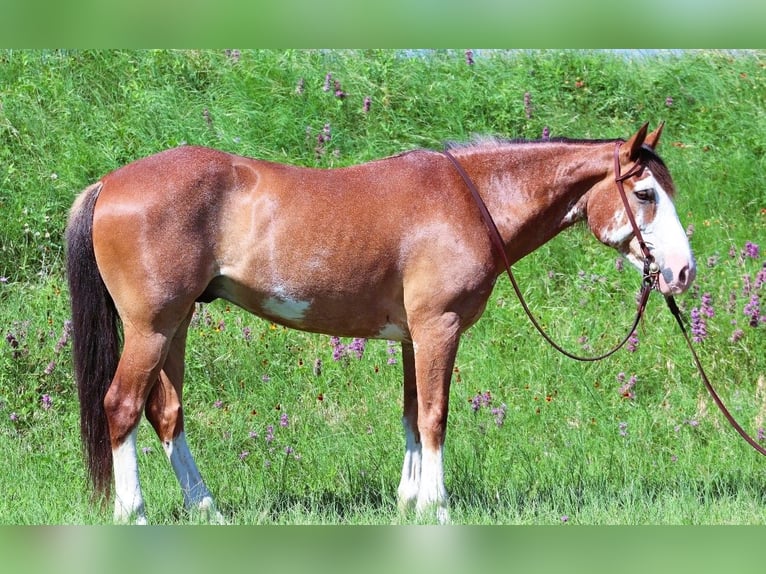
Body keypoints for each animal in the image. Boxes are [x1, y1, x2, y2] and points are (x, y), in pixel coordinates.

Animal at [66, 122, 696, 528]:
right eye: (645, 193)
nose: (682, 272)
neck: (472, 202)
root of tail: (109, 184)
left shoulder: (416, 338)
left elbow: (413, 417)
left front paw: (409, 504)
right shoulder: (440, 327)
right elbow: (436, 417)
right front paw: (438, 507)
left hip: (176, 325)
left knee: (166, 413)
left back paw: (206, 509)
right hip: (151, 327)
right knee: (122, 407)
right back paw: (135, 515)